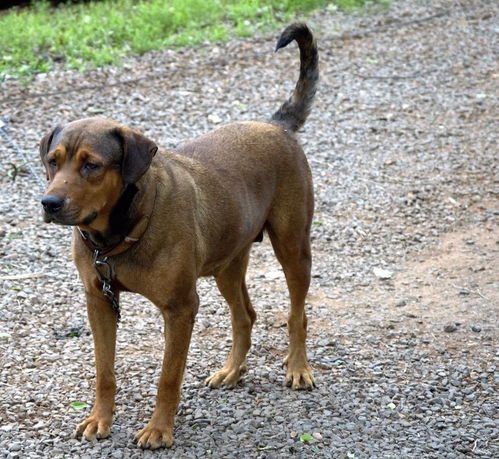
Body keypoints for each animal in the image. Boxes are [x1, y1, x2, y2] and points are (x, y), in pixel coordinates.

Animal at [40, 23, 320, 452]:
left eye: (91, 165)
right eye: (52, 162)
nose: (49, 203)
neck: (118, 235)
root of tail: (275, 125)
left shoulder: (180, 308)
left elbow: (168, 377)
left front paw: (159, 429)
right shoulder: (98, 302)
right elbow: (104, 371)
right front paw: (99, 419)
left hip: (293, 246)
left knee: (297, 314)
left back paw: (299, 367)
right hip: (227, 263)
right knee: (245, 316)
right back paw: (232, 369)